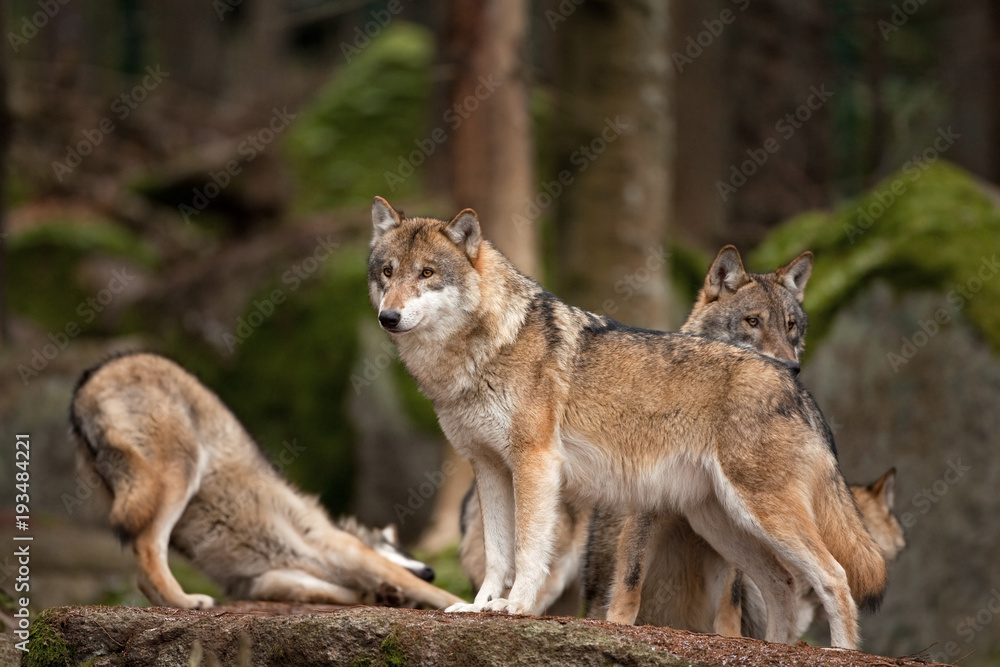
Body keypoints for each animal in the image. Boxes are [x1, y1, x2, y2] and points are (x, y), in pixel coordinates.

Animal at [69, 352, 463, 610]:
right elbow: (435, 593)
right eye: (404, 552)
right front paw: (462, 603)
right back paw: (187, 601)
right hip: (179, 477)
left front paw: (383, 596)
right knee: (147, 552)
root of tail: (91, 376)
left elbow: (347, 594)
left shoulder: (271, 582)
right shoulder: (351, 553)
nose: (431, 570)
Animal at [458, 244, 813, 616]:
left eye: (791, 326)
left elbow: (729, 609)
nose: (791, 367)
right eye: (752, 321)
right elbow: (629, 584)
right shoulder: (642, 517)